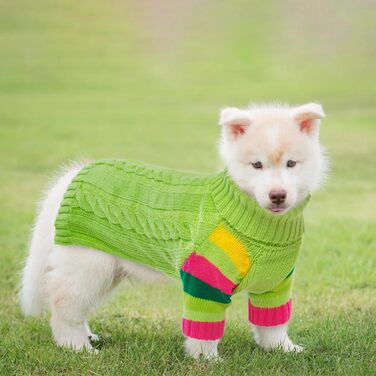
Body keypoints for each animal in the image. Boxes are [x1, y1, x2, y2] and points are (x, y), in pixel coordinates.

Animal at [19, 102, 326, 358]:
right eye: (257, 165)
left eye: (291, 163)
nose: (278, 195)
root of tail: (73, 176)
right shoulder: (204, 281)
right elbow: (203, 329)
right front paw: (207, 361)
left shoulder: (275, 282)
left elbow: (273, 323)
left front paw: (284, 349)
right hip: (88, 266)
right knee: (64, 306)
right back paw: (77, 347)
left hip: (104, 270)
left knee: (76, 307)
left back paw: (88, 338)